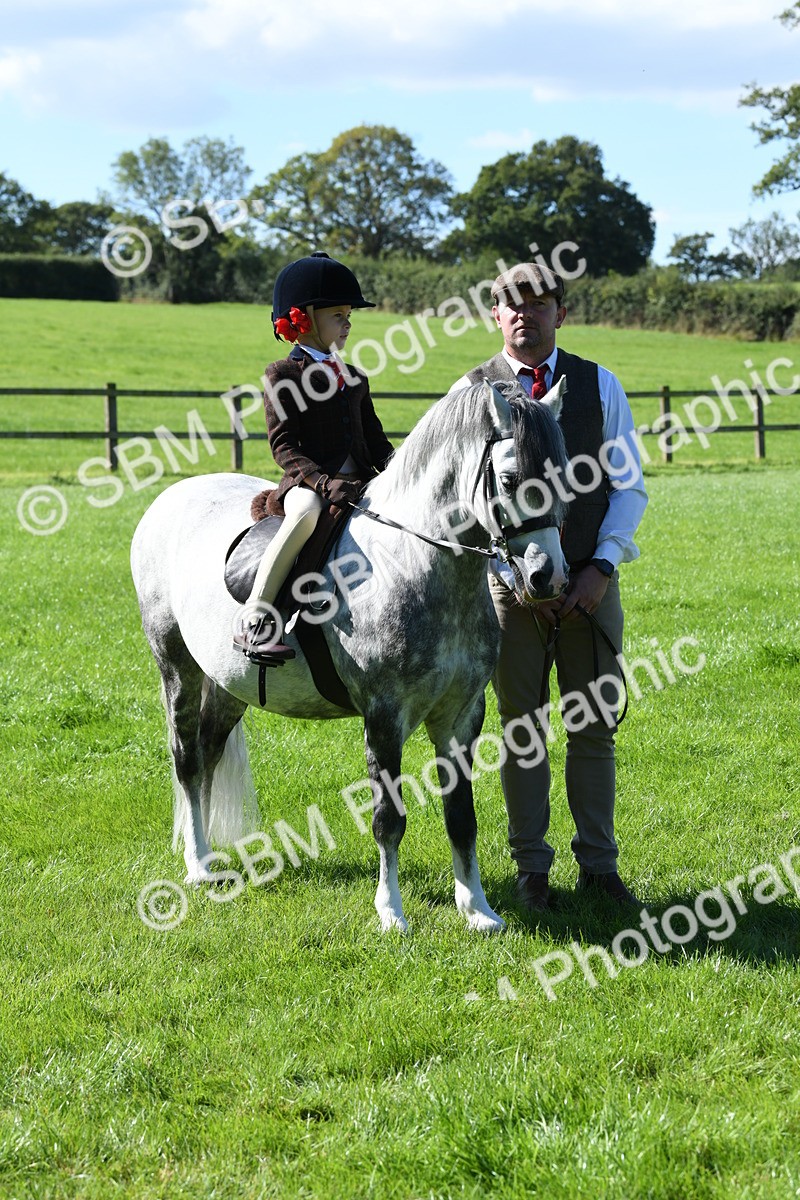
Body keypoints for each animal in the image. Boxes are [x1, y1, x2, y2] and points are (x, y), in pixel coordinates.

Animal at [130, 379, 570, 933]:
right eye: (510, 480)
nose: (547, 578)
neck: (414, 563)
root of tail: (171, 497)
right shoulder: (384, 716)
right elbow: (389, 819)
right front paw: (391, 913)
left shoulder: (462, 716)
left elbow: (461, 816)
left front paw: (478, 910)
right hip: (177, 665)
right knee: (187, 758)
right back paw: (198, 867)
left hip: (229, 681)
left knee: (208, 750)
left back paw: (207, 851)